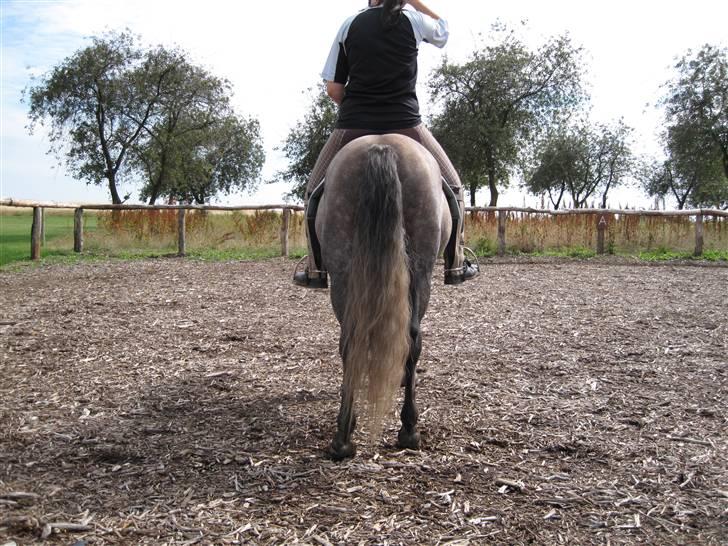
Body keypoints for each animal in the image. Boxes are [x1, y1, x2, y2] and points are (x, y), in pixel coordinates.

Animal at [318, 134, 452, 456]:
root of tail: (382, 145)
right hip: (418, 275)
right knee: (410, 340)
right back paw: (408, 430)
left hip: (345, 273)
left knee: (353, 341)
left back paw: (344, 435)